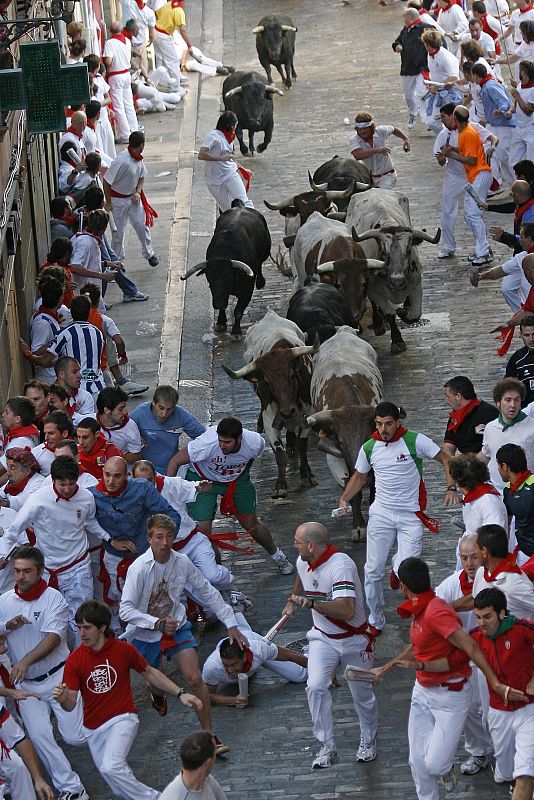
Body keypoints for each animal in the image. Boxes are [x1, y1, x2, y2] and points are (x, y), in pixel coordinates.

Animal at [181, 206, 272, 338]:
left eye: (228, 279)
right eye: (209, 281)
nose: (217, 304)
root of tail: (241, 206)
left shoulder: (247, 290)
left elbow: (238, 311)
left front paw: (236, 332)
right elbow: (224, 307)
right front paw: (220, 322)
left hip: (265, 252)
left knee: (260, 264)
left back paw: (260, 282)